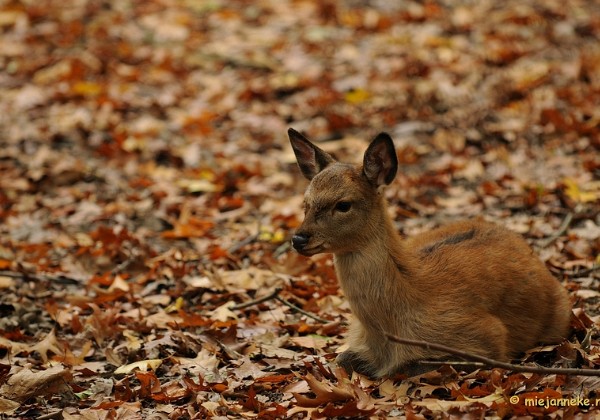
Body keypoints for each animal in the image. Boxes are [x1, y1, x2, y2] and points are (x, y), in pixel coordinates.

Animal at [290, 128, 572, 378]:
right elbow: (341, 358)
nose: (298, 238)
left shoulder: (486, 337)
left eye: (343, 205)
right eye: (306, 203)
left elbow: (409, 366)